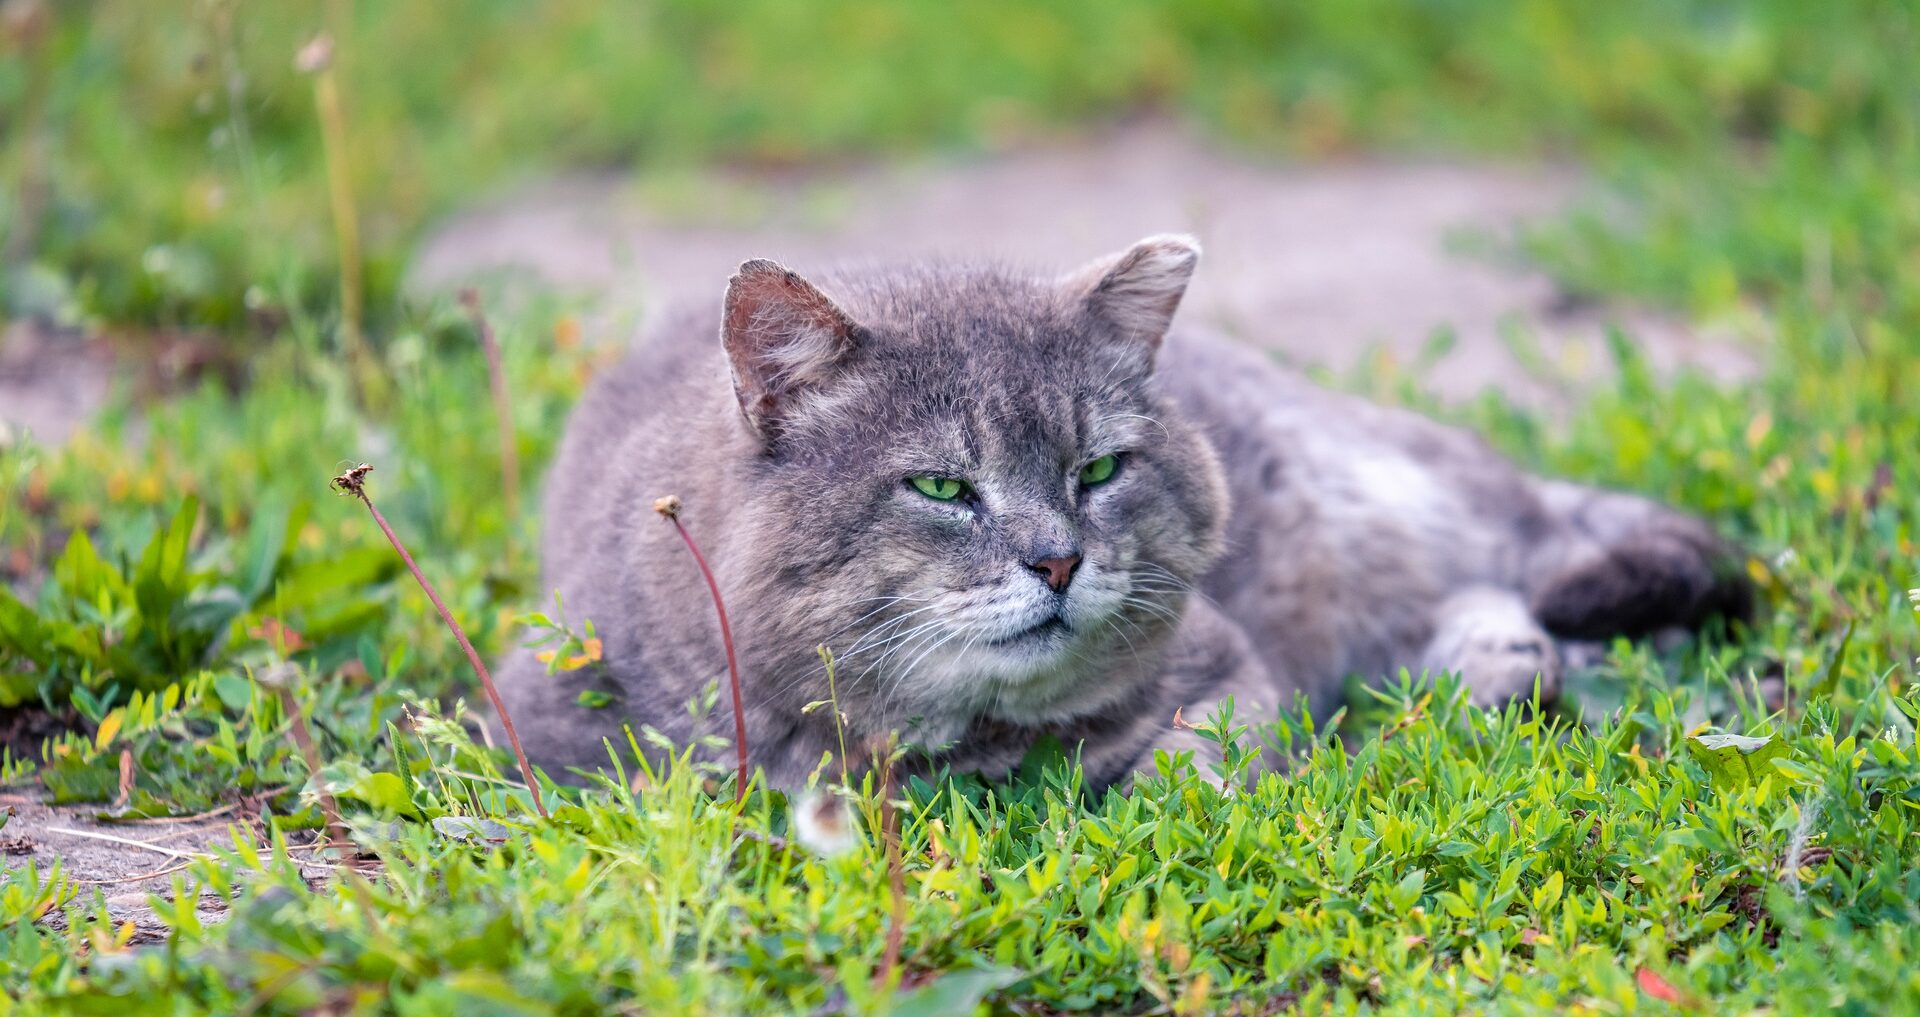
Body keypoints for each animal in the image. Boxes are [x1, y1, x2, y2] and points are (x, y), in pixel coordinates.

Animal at [491, 235, 1743, 782]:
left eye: (1097, 471)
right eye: (943, 487)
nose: (1057, 562)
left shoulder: (1232, 666)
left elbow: (1198, 764)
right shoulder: (545, 720)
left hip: (1381, 495)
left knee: (1527, 543)